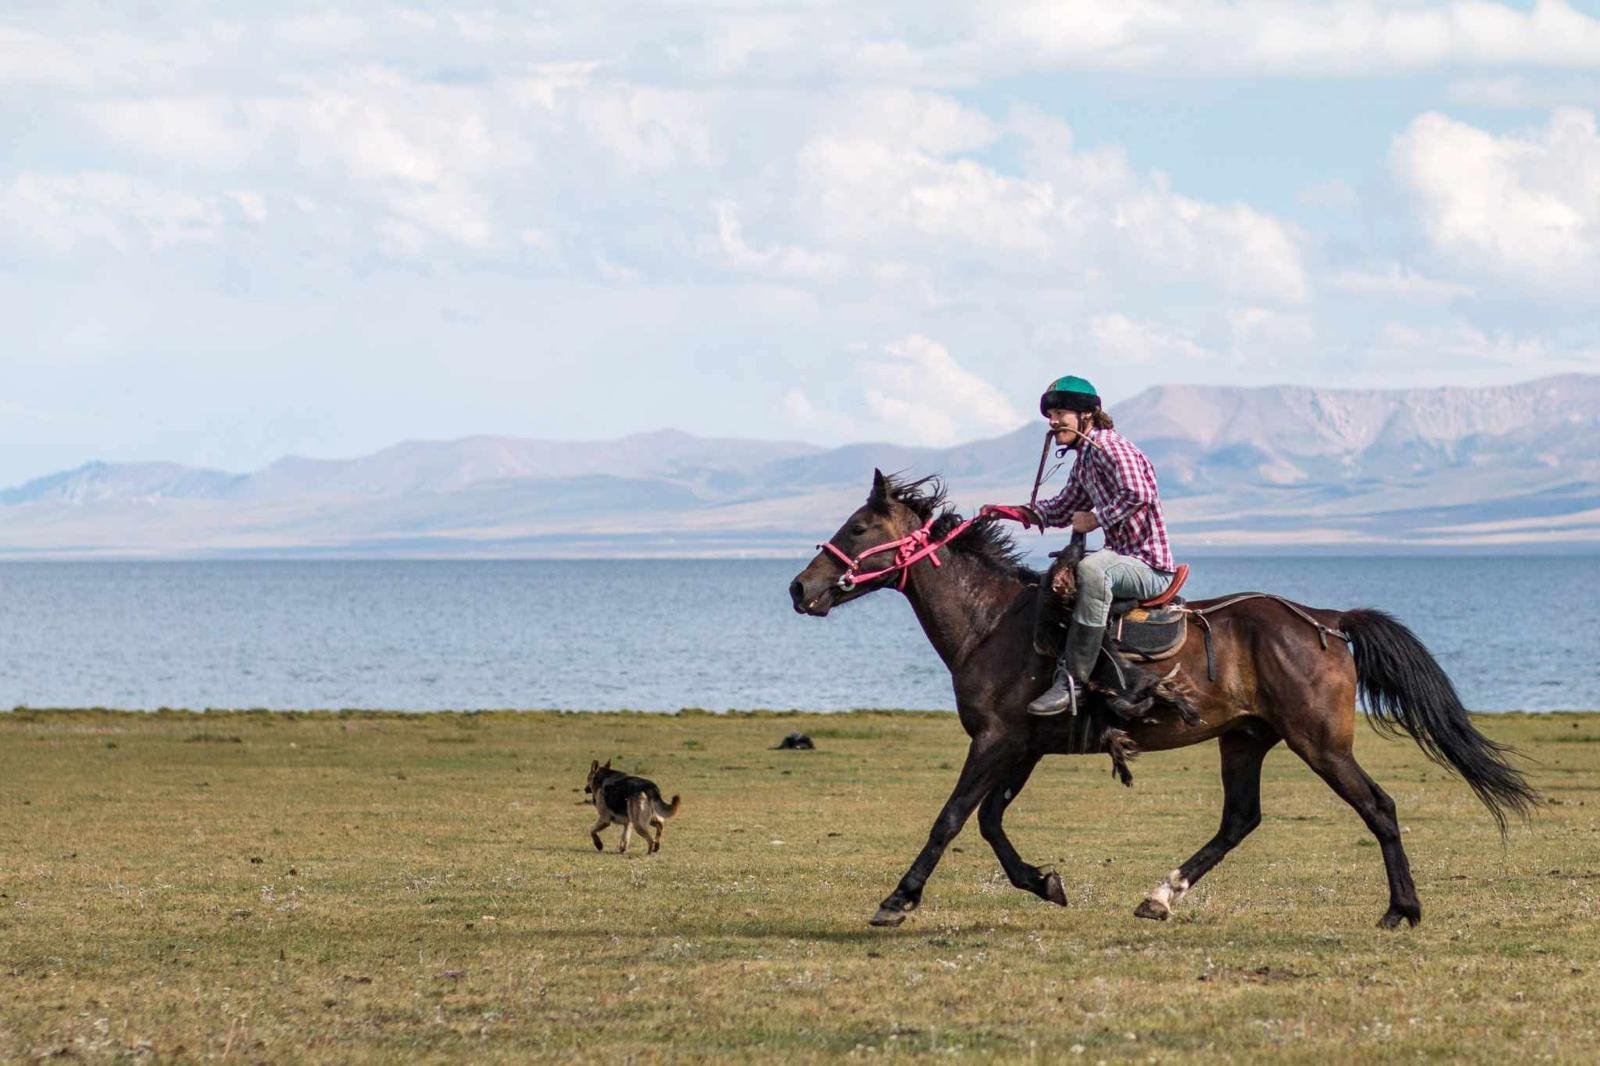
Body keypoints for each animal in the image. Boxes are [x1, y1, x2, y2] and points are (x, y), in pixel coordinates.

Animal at [787, 471, 1538, 930]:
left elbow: (950, 820)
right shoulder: (1022, 745)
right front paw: (1044, 881)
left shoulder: (997, 740)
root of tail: (1325, 621)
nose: (799, 588)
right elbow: (991, 824)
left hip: (1319, 743)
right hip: (1245, 739)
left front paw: (898, 899)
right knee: (1239, 820)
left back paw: (1401, 910)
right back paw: (1160, 897)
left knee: (1377, 807)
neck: (992, 622)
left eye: (858, 528)